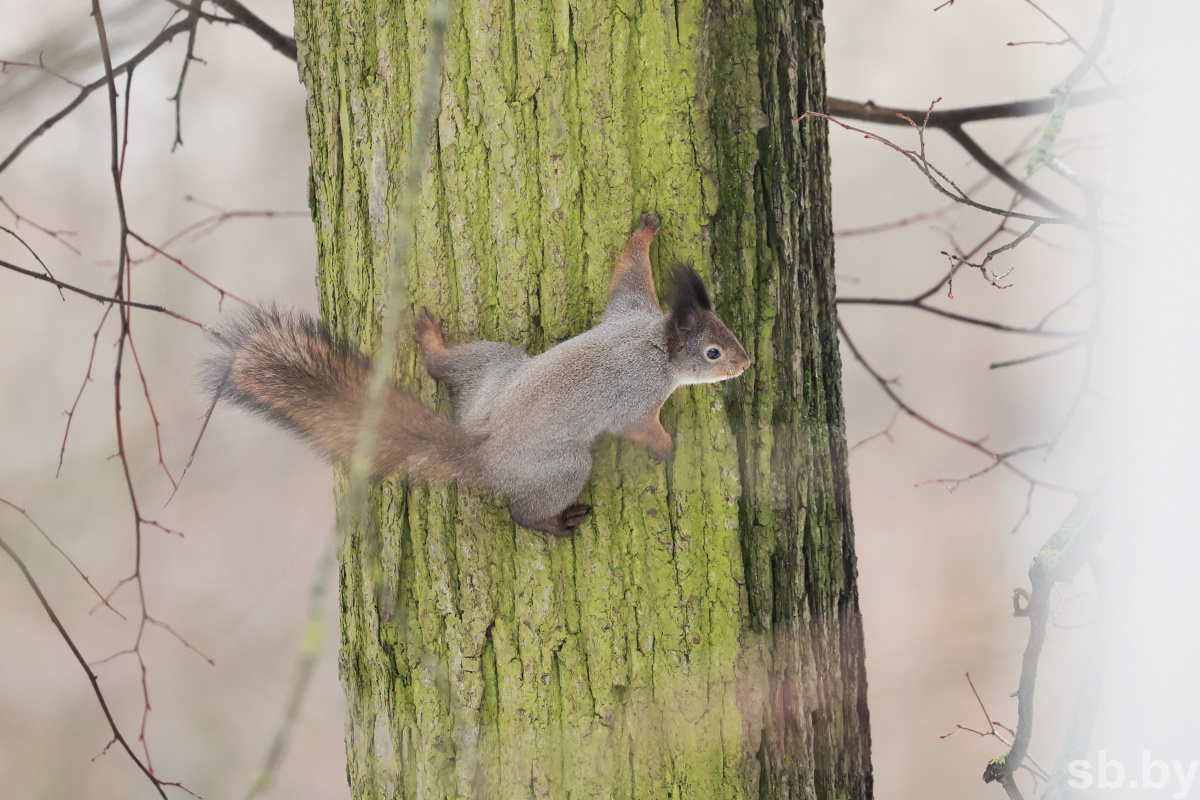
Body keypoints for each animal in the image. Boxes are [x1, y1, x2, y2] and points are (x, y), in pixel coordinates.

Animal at [206, 215, 748, 534]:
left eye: (726, 327)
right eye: (714, 352)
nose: (746, 363)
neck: (654, 344)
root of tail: (484, 451)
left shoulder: (631, 307)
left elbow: (629, 271)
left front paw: (645, 231)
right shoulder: (636, 395)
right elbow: (640, 428)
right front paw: (665, 448)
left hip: (493, 369)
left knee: (442, 368)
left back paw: (431, 343)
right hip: (561, 467)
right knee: (521, 512)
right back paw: (552, 523)